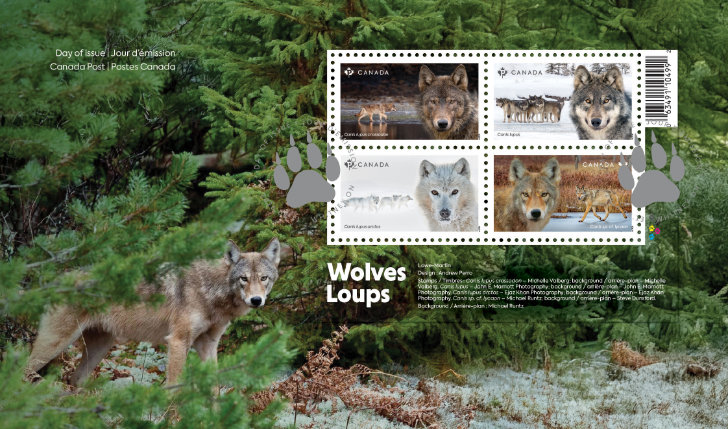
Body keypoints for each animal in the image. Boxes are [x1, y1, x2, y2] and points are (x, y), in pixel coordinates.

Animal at [25, 238, 281, 387]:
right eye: (243, 279)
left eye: (264, 278)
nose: (256, 300)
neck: (210, 290)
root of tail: (56, 280)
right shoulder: (178, 342)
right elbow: (173, 389)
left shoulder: (208, 345)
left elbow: (215, 389)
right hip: (54, 345)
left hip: (100, 347)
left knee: (75, 380)